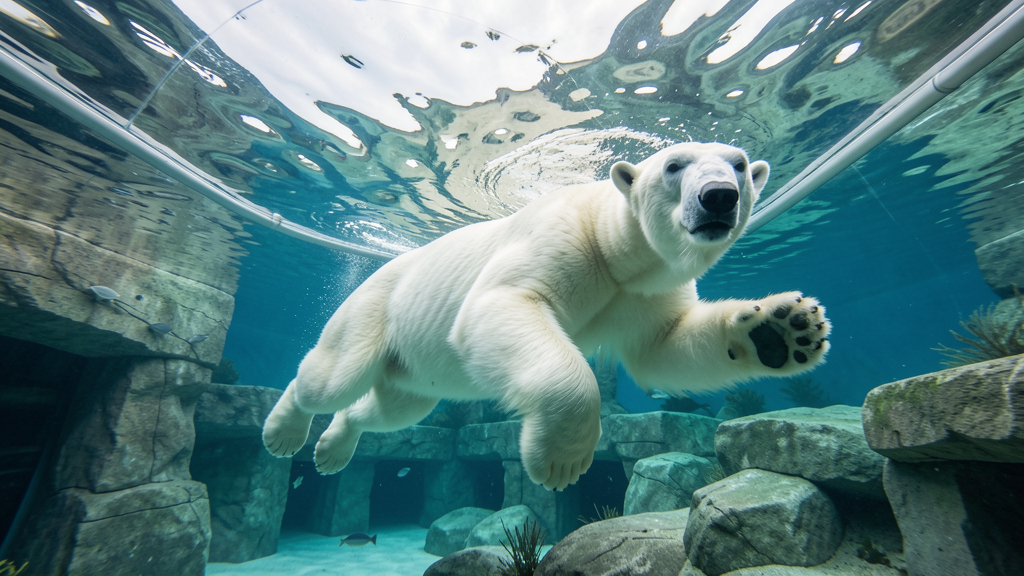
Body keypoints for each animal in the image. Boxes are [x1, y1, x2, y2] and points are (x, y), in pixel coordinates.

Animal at [262, 142, 830, 491]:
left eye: (740, 164)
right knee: (331, 377)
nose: (719, 198)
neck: (613, 248)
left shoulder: (643, 292)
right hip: (372, 309)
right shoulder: (564, 240)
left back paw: (333, 446)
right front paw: (562, 459)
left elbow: (663, 350)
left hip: (411, 366)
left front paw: (786, 329)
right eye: (674, 166)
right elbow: (502, 303)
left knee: (394, 407)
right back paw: (284, 431)